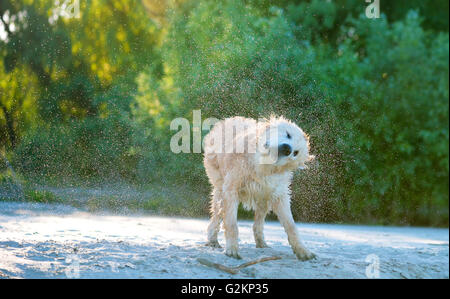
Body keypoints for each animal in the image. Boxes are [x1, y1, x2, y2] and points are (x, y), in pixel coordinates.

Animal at [204, 116, 316, 262]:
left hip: (264, 200)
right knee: (216, 217)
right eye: (288, 135)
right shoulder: (230, 190)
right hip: (220, 190)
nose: (287, 148)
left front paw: (302, 251)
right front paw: (232, 249)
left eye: (295, 153)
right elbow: (232, 224)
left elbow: (291, 226)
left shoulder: (279, 196)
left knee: (258, 223)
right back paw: (212, 241)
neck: (261, 164)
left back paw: (261, 243)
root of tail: (227, 120)